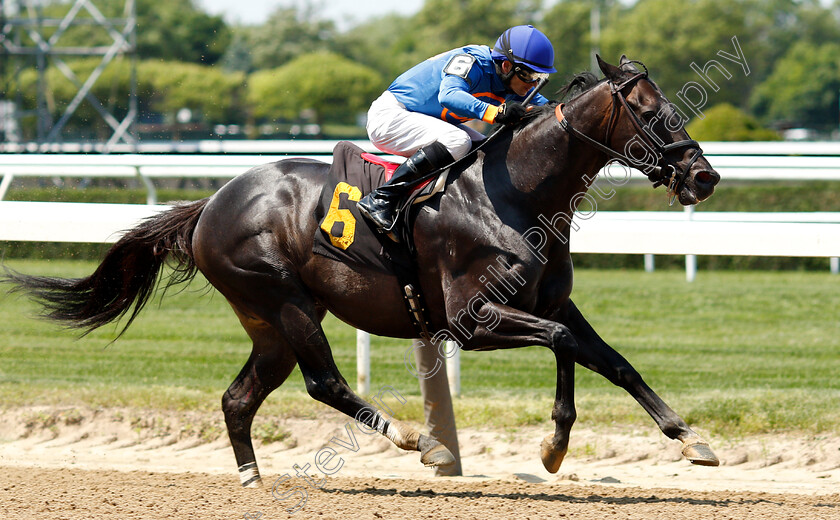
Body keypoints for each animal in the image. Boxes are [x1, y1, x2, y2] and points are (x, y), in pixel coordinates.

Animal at [1, 57, 720, 488]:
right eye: (650, 112)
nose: (703, 176)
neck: (516, 190)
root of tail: (211, 202)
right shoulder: (472, 319)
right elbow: (567, 345)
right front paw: (553, 445)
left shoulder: (549, 302)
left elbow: (609, 359)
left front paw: (688, 439)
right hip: (284, 301)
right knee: (322, 381)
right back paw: (416, 439)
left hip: (269, 322)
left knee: (239, 398)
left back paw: (253, 480)